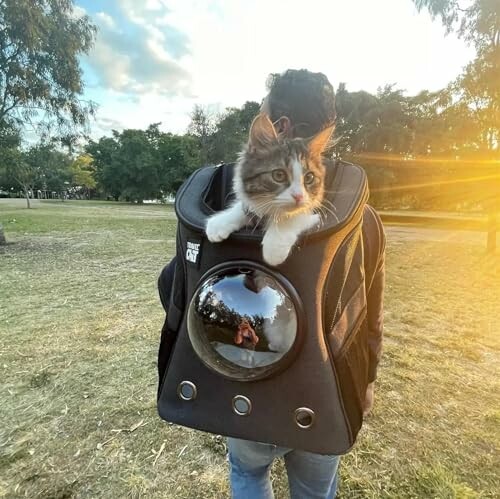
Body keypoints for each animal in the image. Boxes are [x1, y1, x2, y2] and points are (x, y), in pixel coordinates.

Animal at [205, 113, 334, 268]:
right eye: (279, 175)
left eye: (309, 177)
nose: (298, 196)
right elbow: (245, 208)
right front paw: (220, 222)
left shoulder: (315, 213)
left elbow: (292, 216)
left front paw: (274, 247)